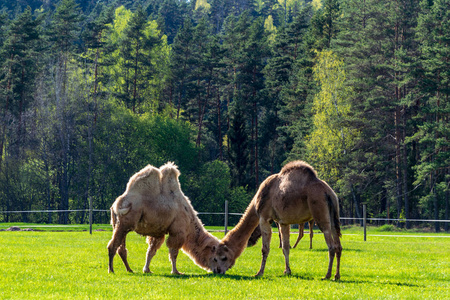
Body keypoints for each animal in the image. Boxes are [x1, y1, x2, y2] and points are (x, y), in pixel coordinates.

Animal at [209, 161, 342, 280]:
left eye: (223, 257)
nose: (218, 271)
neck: (256, 201)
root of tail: (328, 193)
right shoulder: (283, 222)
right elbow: (285, 247)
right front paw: (287, 271)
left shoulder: (264, 218)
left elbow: (265, 249)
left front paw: (259, 273)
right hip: (333, 214)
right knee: (338, 245)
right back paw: (336, 276)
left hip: (319, 211)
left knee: (331, 246)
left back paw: (327, 275)